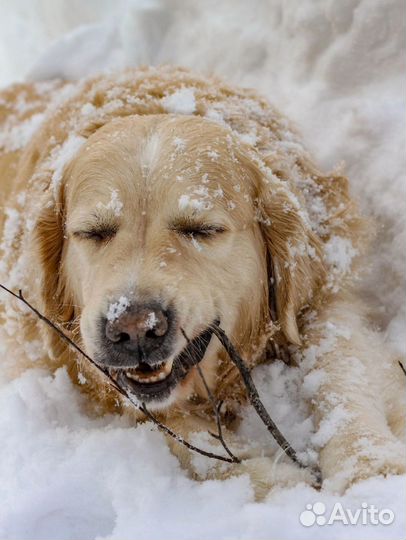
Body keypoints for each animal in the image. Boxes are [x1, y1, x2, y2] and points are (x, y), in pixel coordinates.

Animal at [0, 65, 404, 496]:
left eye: (202, 229)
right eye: (94, 232)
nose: (134, 327)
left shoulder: (323, 296)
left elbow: (340, 370)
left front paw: (369, 468)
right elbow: (181, 437)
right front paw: (278, 480)